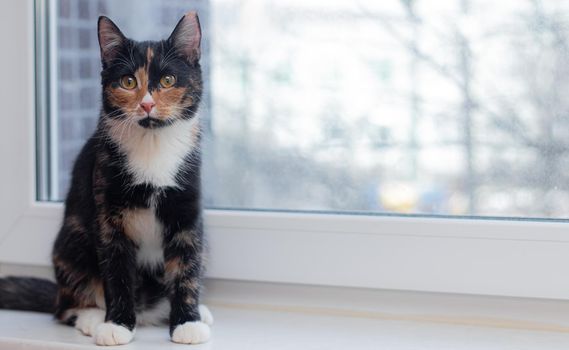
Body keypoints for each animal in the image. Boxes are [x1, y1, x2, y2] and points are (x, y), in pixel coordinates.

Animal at [0, 11, 211, 348]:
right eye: (128, 81)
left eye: (168, 80)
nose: (147, 104)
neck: (152, 144)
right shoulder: (108, 213)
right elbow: (117, 271)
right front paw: (118, 325)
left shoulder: (188, 206)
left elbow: (187, 266)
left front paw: (187, 322)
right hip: (71, 242)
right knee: (64, 306)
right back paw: (92, 316)